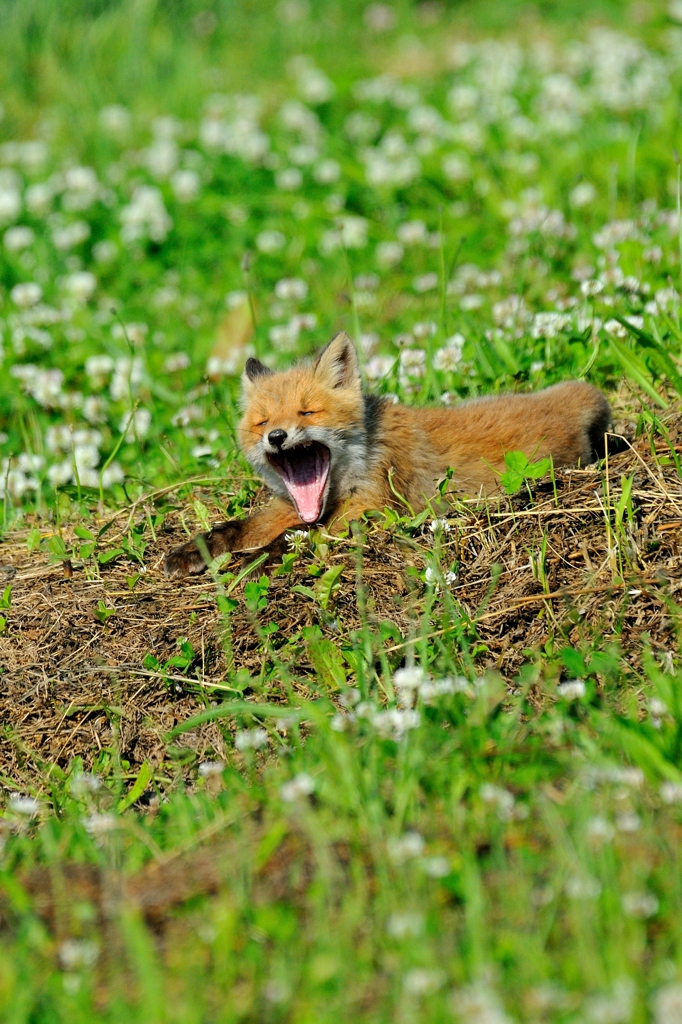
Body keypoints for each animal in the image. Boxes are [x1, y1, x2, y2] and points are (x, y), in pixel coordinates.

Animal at [164, 333, 610, 581]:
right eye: (262, 422)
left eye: (307, 413)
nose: (276, 437)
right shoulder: (291, 506)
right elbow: (240, 526)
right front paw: (196, 550)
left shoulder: (373, 509)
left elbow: (298, 538)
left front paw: (254, 561)